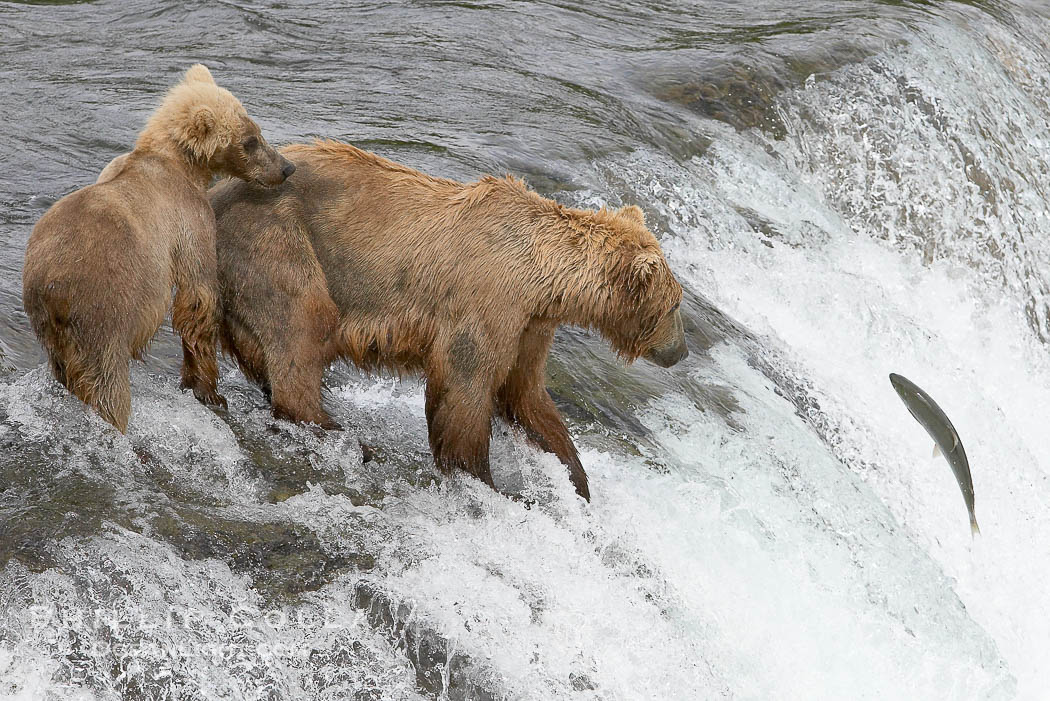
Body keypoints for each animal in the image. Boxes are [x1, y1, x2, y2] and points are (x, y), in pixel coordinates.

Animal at [22, 64, 296, 432]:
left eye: (256, 131)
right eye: (249, 141)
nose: (286, 167)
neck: (182, 164)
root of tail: (50, 283)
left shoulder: (112, 167)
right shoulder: (189, 216)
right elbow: (199, 293)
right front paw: (208, 388)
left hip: (48, 327)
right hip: (102, 308)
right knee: (107, 382)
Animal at [209, 140, 687, 500]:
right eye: (675, 305)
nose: (681, 351)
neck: (543, 278)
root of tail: (212, 194)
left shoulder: (529, 324)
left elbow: (525, 393)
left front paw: (575, 475)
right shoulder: (487, 300)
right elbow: (466, 388)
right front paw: (483, 478)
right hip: (275, 239)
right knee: (303, 325)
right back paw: (346, 437)